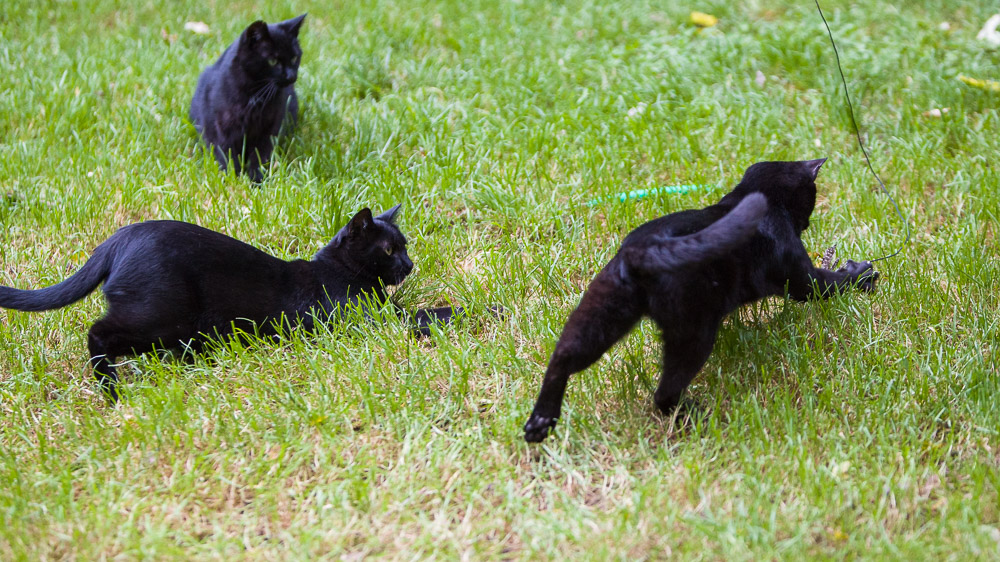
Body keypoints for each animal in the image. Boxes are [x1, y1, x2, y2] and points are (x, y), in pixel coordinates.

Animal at [0, 203, 458, 400]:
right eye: (389, 250)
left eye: (404, 246)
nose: (410, 264)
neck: (340, 271)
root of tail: (118, 240)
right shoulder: (371, 322)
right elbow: (432, 313)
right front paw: (474, 310)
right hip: (161, 316)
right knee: (98, 332)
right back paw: (110, 389)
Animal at [190, 14, 306, 182]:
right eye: (273, 61)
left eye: (294, 58)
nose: (291, 76)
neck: (255, 92)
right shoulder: (220, 128)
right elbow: (227, 153)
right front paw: (233, 178)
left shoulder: (270, 128)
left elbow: (260, 155)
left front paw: (256, 180)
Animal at [524, 159, 884, 442]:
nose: (808, 221)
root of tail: (644, 249)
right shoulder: (802, 278)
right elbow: (829, 282)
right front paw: (862, 273)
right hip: (694, 333)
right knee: (665, 393)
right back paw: (701, 417)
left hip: (602, 316)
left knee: (562, 358)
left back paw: (540, 422)